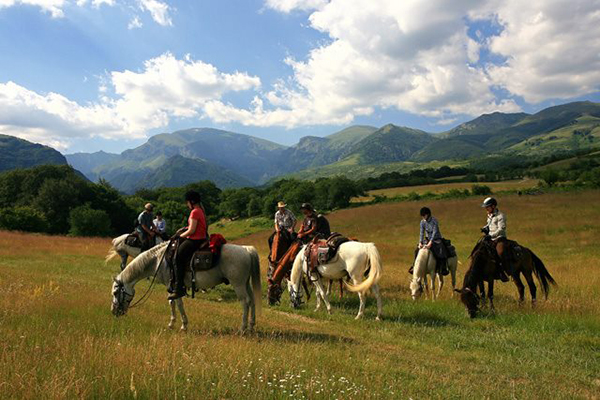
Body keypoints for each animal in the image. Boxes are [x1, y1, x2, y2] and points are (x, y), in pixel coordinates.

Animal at [111, 241, 262, 332]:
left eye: (115, 293)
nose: (114, 312)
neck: (158, 260)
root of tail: (246, 250)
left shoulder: (172, 286)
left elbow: (177, 303)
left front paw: (182, 325)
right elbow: (172, 303)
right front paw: (172, 323)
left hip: (238, 284)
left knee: (245, 302)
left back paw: (242, 328)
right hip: (245, 283)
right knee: (252, 300)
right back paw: (251, 326)